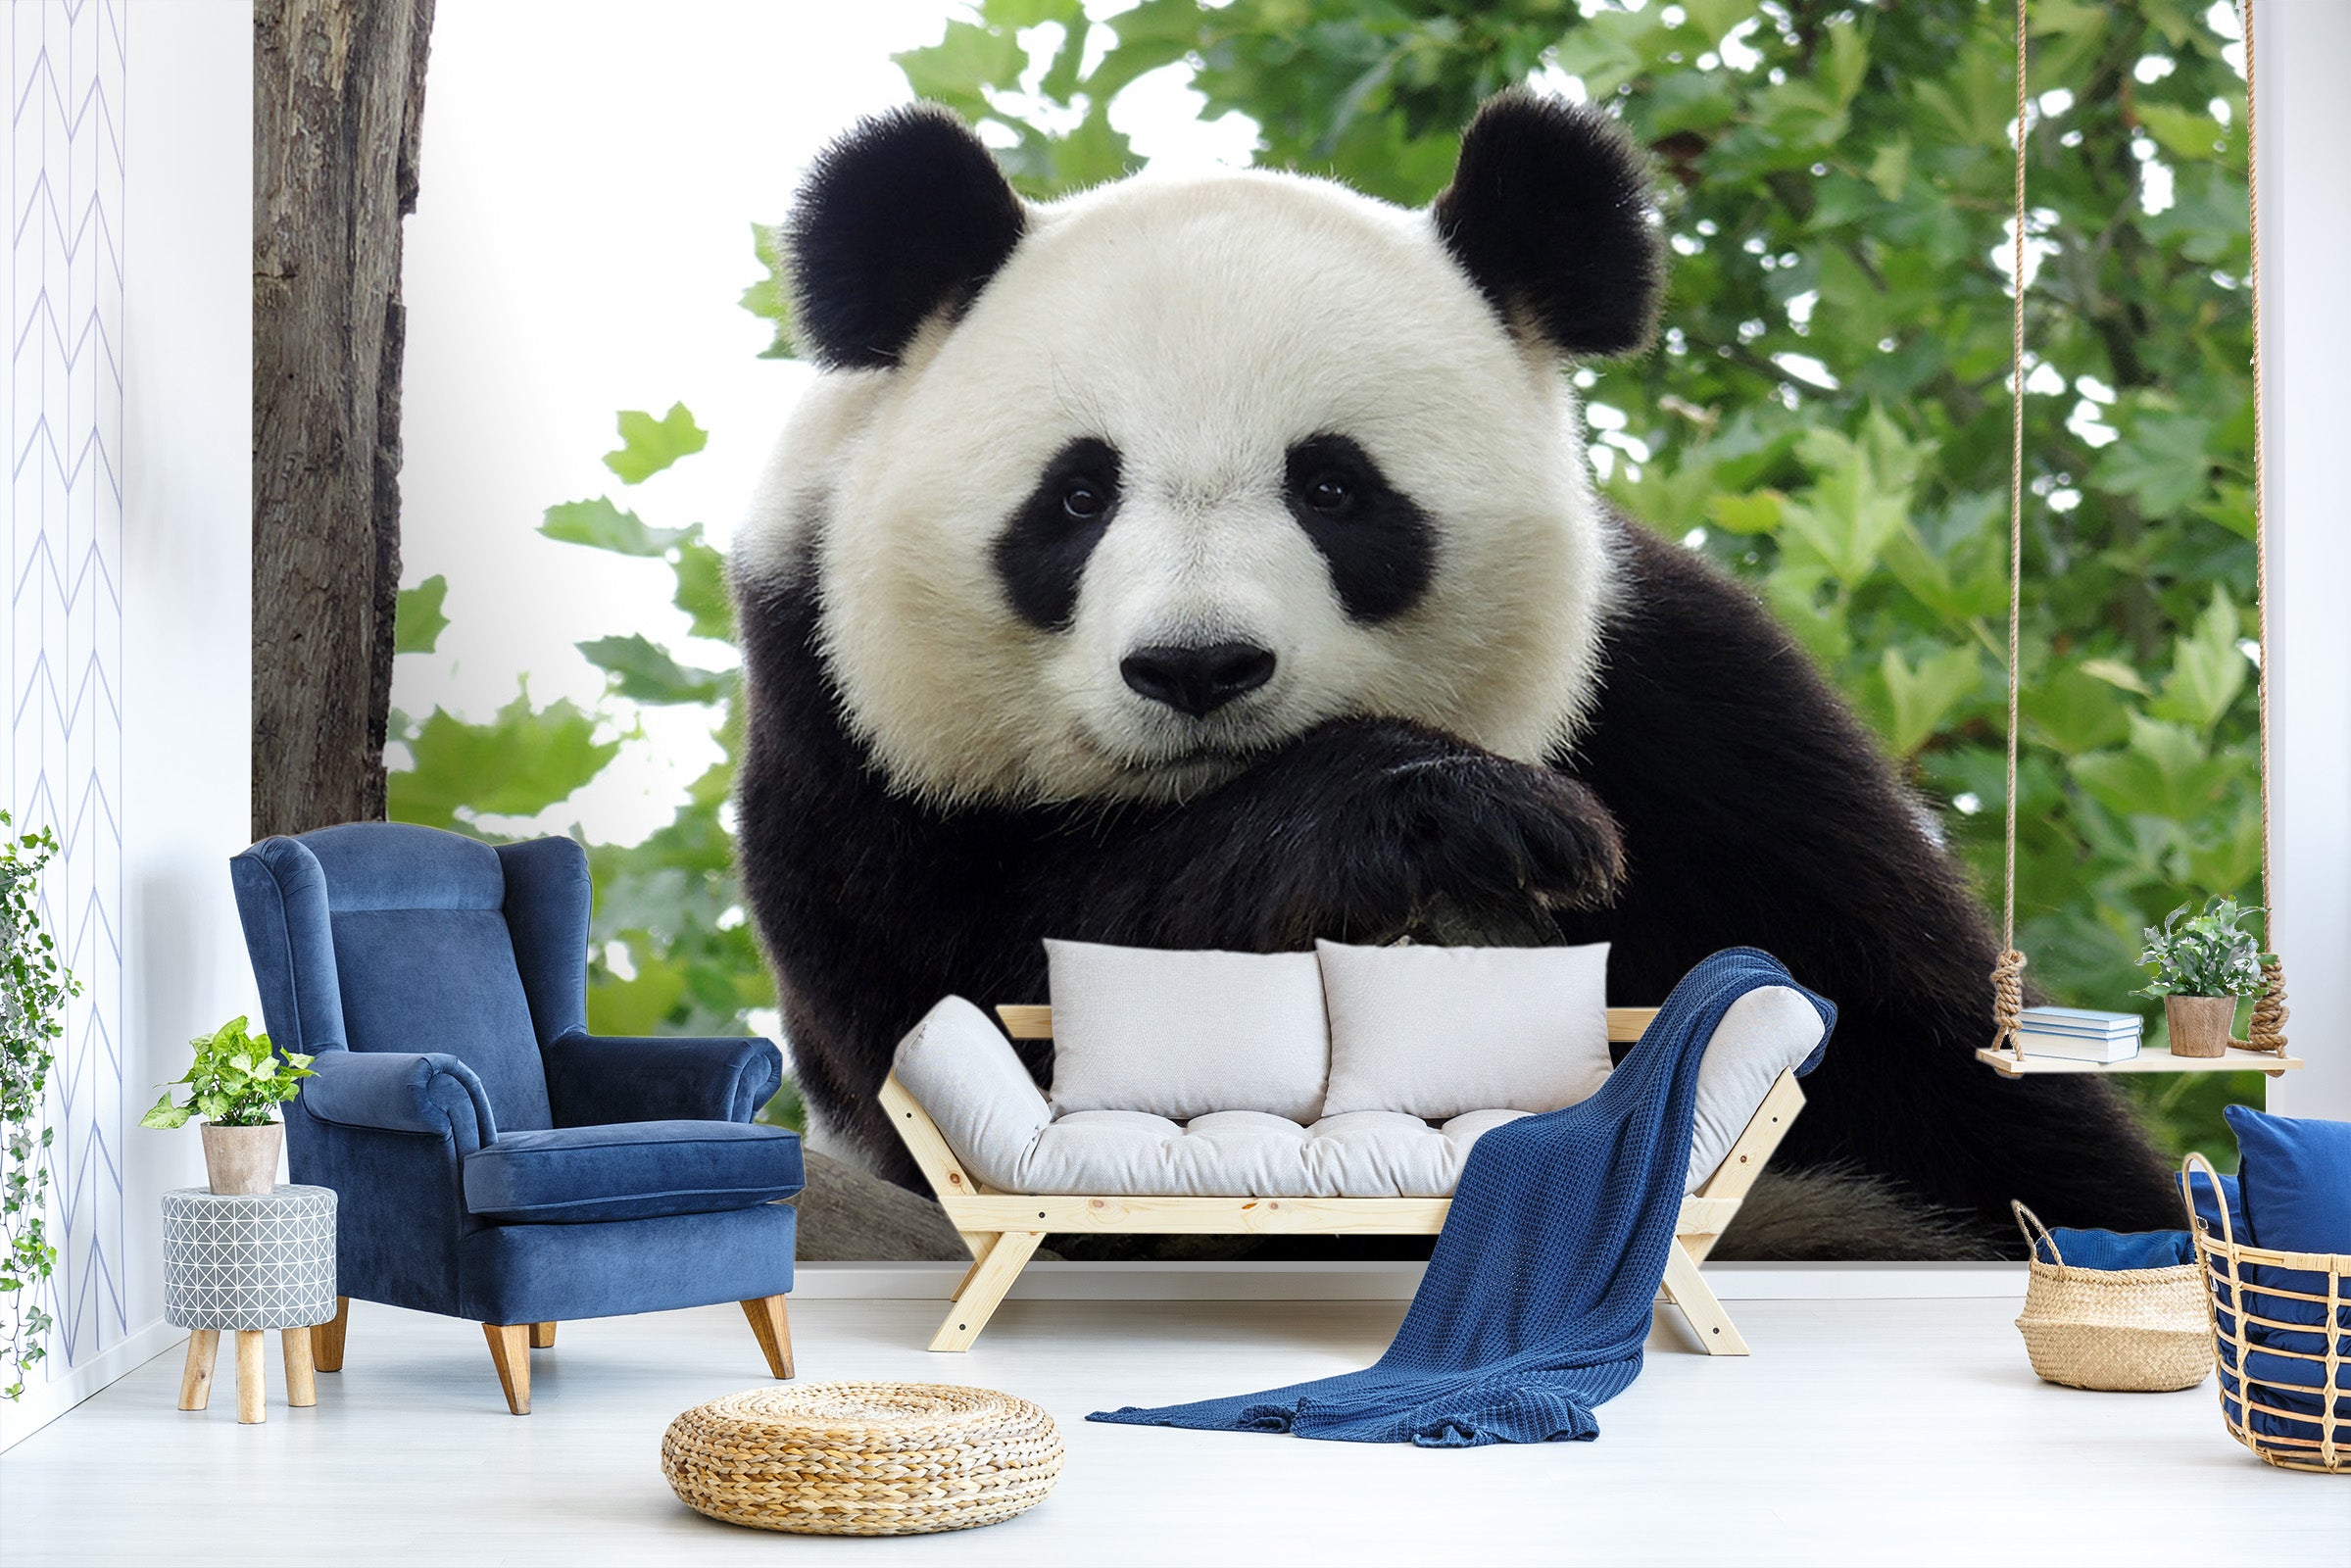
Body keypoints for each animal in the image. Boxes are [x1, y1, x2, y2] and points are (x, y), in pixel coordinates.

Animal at [729, 91, 2183, 1258]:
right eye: (1076, 497)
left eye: (1333, 487)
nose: (1197, 667)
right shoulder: (835, 729)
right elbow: (981, 983)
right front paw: (1432, 814)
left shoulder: (1698, 720)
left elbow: (1931, 1061)